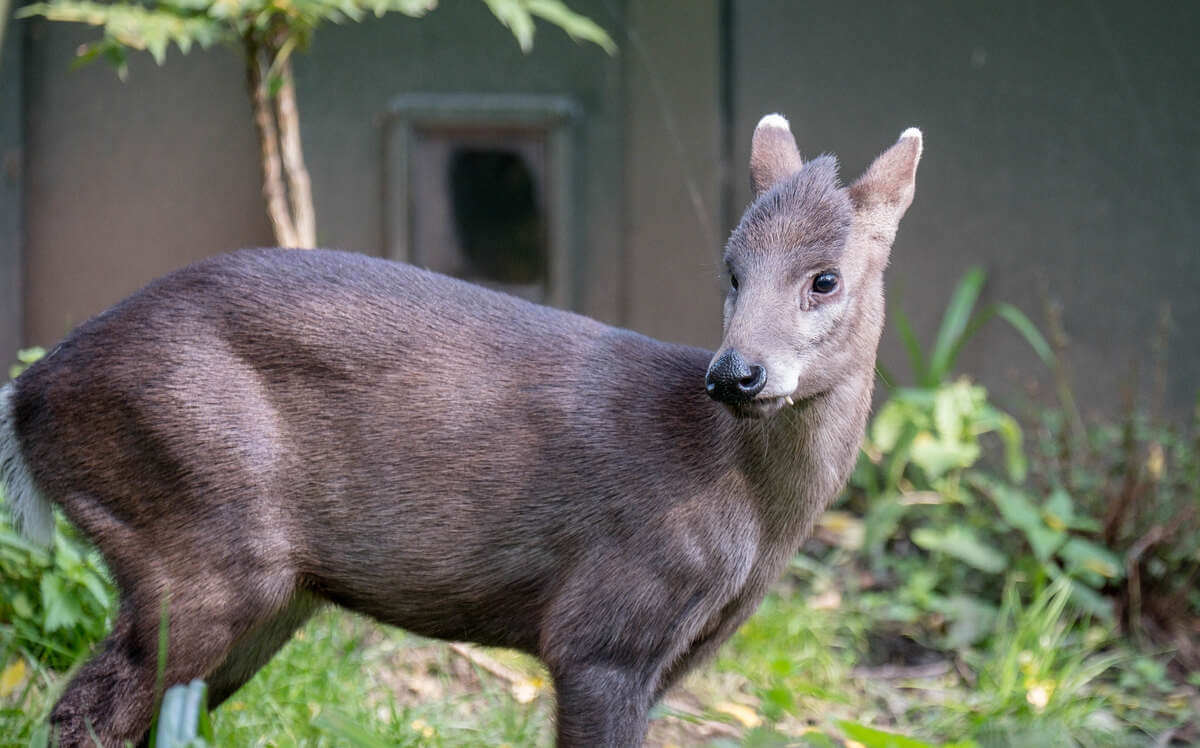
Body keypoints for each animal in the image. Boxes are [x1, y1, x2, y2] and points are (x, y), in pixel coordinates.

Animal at [0, 114, 916, 744]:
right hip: (198, 534)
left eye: (825, 278)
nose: (736, 373)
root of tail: (30, 392)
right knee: (84, 711)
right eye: (731, 270)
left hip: (268, 595)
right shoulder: (602, 629)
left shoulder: (677, 652)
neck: (756, 519)